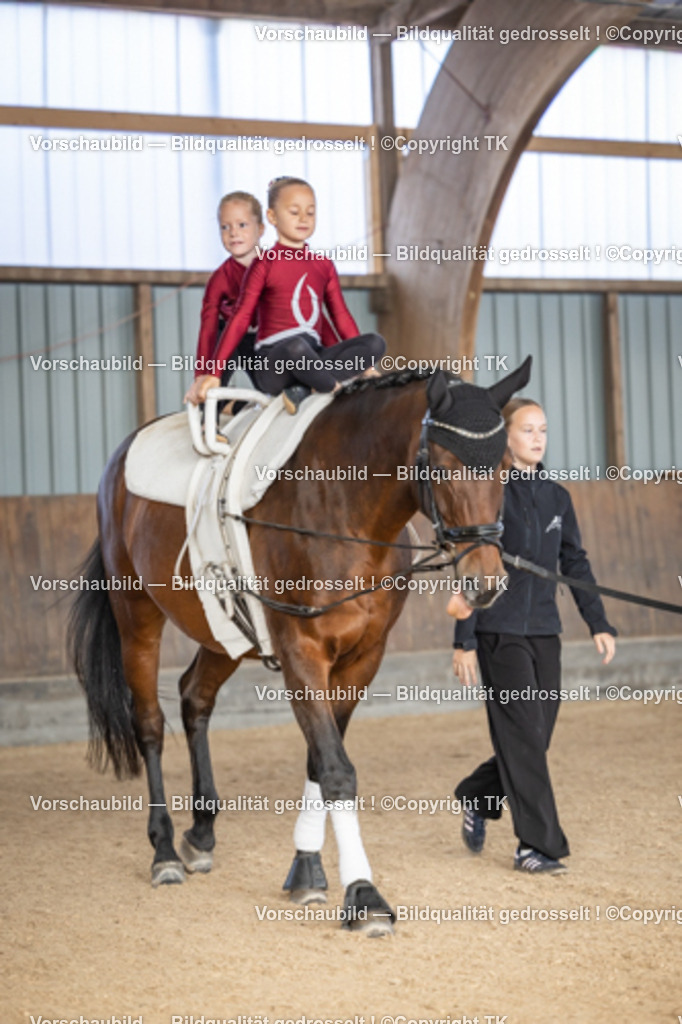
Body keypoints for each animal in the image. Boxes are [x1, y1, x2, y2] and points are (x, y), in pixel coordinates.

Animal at [68, 358, 531, 935]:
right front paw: (363, 894)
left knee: (195, 697)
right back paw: (165, 852)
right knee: (149, 723)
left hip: (224, 627)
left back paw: (200, 834)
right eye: (443, 466)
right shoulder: (300, 651)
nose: (486, 583)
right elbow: (336, 769)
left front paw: (307, 869)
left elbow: (319, 760)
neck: (347, 512)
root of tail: (123, 454)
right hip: (137, 617)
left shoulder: (363, 658)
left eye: (507, 465)